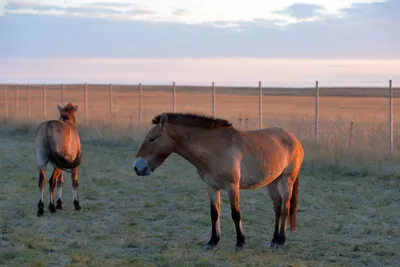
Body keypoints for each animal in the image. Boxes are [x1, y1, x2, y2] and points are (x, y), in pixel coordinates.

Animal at [133, 113, 304, 251]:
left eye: (152, 139)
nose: (137, 167)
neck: (215, 149)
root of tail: (294, 139)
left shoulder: (232, 187)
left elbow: (236, 214)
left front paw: (240, 243)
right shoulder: (211, 186)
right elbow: (214, 213)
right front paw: (212, 242)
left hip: (286, 180)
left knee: (285, 208)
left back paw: (281, 241)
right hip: (272, 182)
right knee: (277, 208)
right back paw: (274, 240)